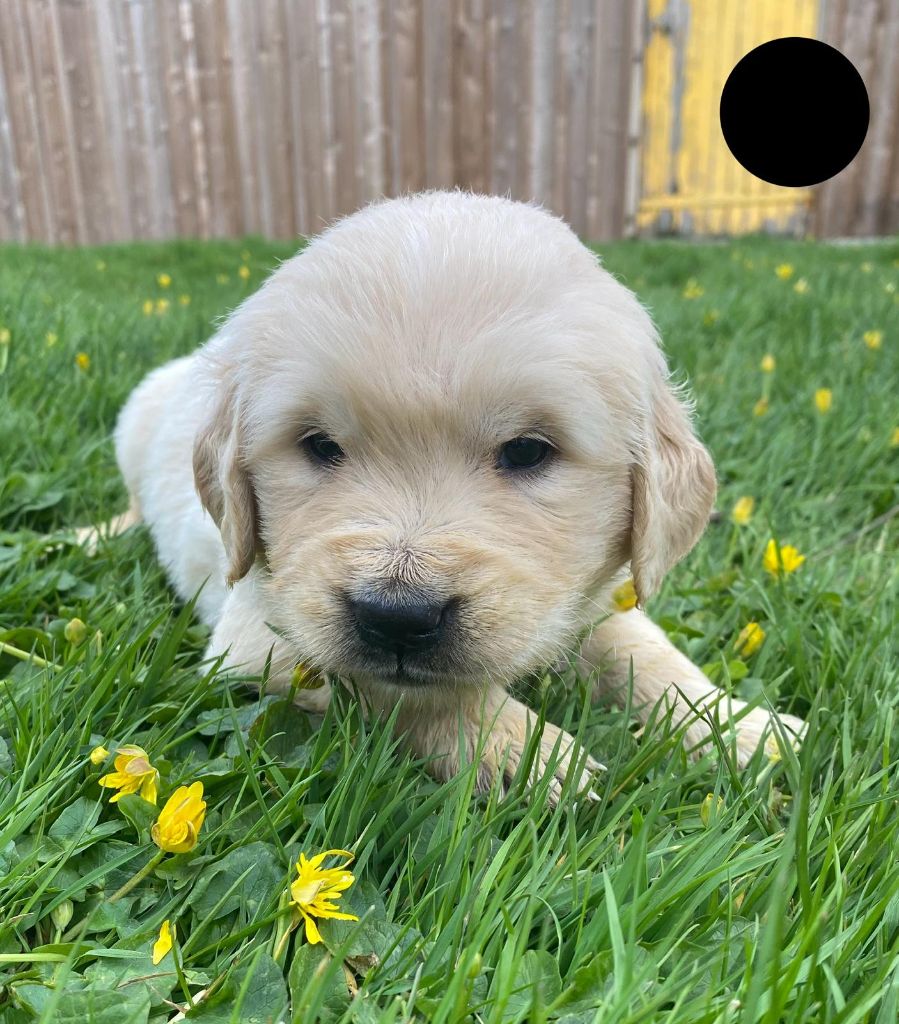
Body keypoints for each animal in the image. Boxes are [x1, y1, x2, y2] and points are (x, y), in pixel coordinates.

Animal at [105, 191, 804, 801]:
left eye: (527, 451)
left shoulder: (589, 601)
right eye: (319, 445)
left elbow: (649, 653)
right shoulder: (259, 633)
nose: (396, 615)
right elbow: (394, 686)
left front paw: (744, 726)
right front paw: (524, 749)